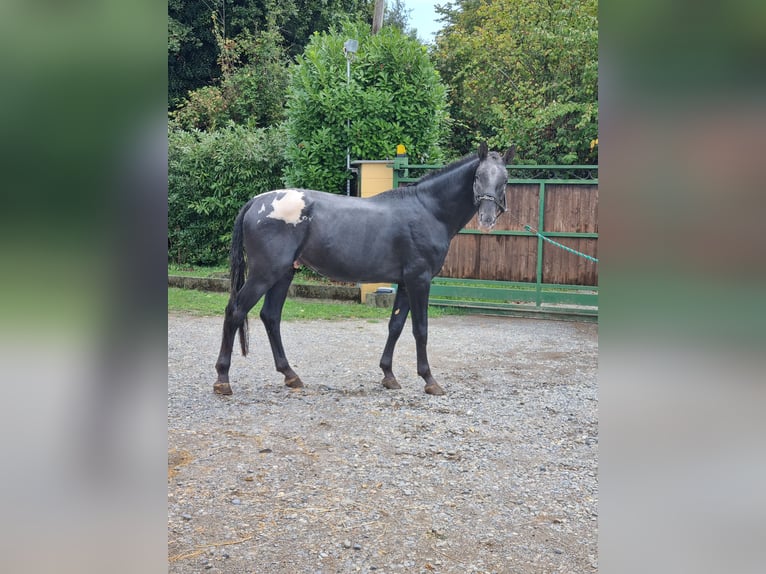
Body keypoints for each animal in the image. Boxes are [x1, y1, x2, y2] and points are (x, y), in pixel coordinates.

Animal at [214, 142, 514, 396]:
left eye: (505, 179)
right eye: (478, 177)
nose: (487, 218)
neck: (429, 210)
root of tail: (256, 202)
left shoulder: (405, 282)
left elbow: (395, 325)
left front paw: (389, 375)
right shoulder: (420, 279)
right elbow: (421, 329)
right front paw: (429, 380)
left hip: (284, 273)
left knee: (271, 316)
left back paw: (290, 375)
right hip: (265, 273)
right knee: (236, 311)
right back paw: (223, 379)